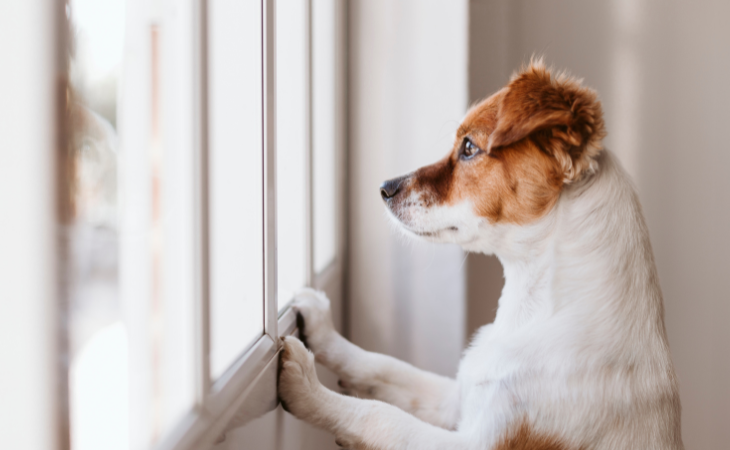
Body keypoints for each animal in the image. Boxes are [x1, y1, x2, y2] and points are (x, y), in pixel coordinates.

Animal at [278, 62, 684, 450]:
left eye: (470, 148)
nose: (384, 188)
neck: (533, 312)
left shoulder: (479, 441)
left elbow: (381, 417)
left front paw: (308, 388)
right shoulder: (458, 399)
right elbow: (384, 367)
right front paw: (322, 329)